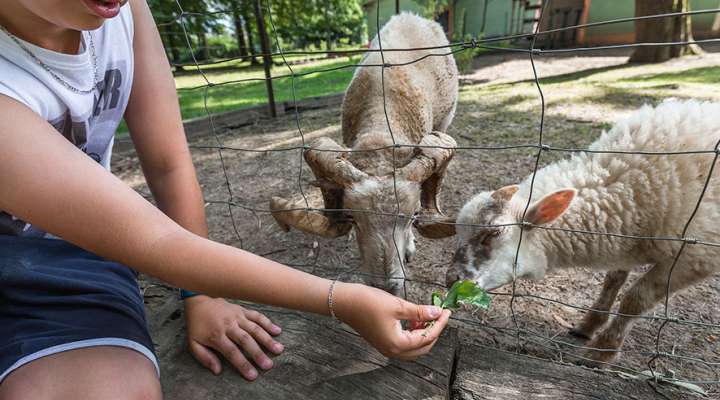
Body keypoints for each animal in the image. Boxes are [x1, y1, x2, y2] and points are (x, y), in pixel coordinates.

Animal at [444, 99, 720, 366]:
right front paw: (588, 325)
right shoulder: (626, 241)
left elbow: (635, 300)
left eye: (494, 233)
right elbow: (613, 280)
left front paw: (601, 353)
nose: (451, 280)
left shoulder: (694, 258)